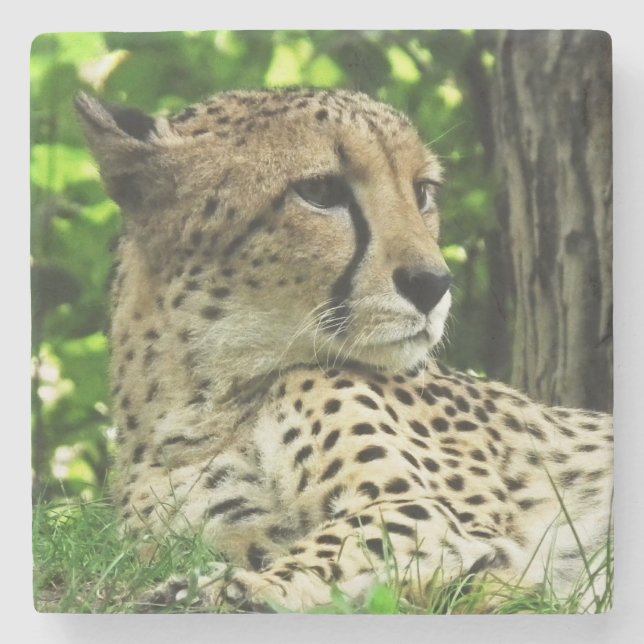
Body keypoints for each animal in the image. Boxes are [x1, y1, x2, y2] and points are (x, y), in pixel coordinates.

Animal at [75, 88, 613, 613]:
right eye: (319, 192)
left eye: (421, 192)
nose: (433, 283)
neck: (202, 400)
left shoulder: (428, 515)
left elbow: (334, 549)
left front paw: (229, 590)